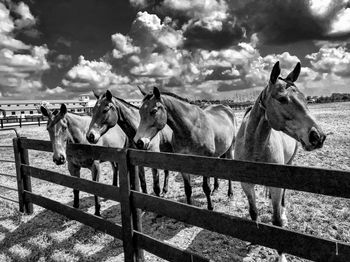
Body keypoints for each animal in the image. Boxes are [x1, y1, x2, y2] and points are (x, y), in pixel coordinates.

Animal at [234, 61, 326, 260]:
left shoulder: (276, 185)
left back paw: (284, 214)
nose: (318, 136)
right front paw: (253, 242)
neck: (255, 146)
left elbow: (276, 222)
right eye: (282, 99)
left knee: (283, 198)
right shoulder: (246, 184)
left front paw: (281, 255)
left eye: (305, 99)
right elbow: (253, 213)